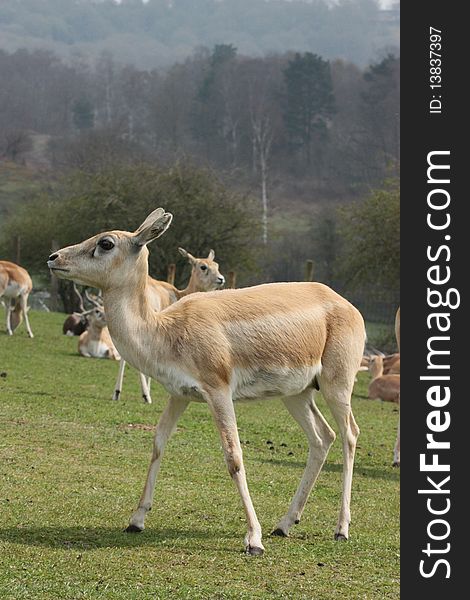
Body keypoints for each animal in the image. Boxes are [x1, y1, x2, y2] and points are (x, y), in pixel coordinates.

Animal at [113, 248, 225, 404]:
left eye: (216, 265)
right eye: (203, 267)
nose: (221, 279)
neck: (178, 294)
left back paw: (117, 392)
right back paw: (146, 395)